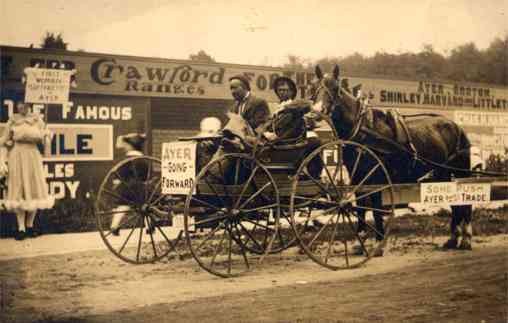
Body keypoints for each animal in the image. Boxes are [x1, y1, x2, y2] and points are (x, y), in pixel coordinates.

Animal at [310, 64, 472, 252]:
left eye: (335, 88)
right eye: (314, 87)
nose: (316, 113)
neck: (364, 128)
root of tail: (456, 126)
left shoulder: (378, 175)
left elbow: (376, 208)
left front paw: (379, 242)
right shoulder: (357, 175)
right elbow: (361, 205)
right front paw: (361, 239)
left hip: (459, 171)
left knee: (464, 203)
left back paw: (466, 239)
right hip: (442, 173)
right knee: (455, 203)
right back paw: (453, 239)